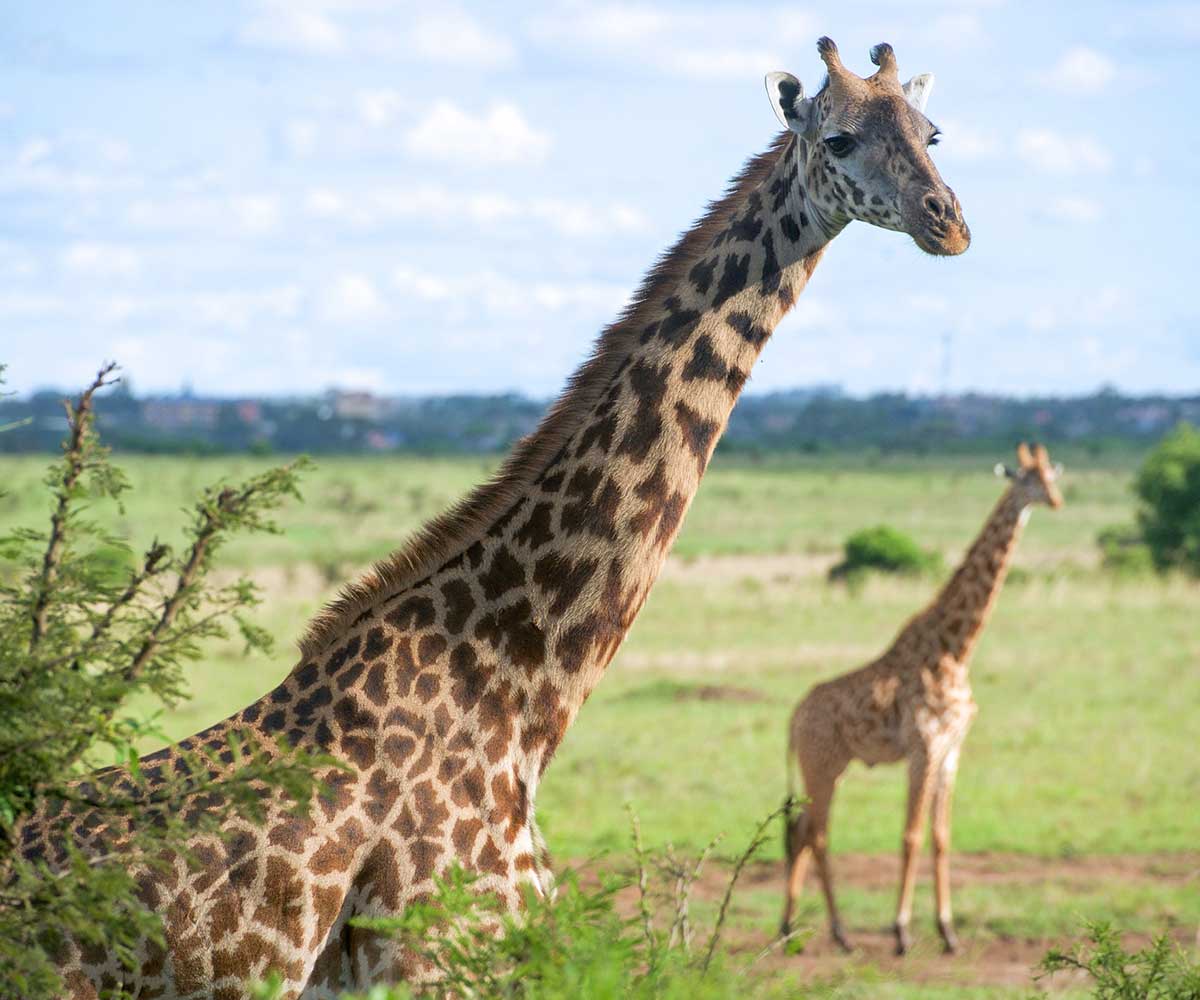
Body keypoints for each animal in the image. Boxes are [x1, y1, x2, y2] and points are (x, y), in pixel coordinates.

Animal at [777, 441, 1070, 950]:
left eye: (1051, 476)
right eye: (1026, 479)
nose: (1055, 501)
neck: (956, 649)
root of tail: (793, 719)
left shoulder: (952, 749)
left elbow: (942, 836)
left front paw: (948, 932)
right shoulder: (924, 746)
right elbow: (911, 834)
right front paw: (901, 931)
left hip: (831, 766)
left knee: (802, 831)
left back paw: (791, 926)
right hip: (823, 765)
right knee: (818, 834)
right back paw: (839, 932)